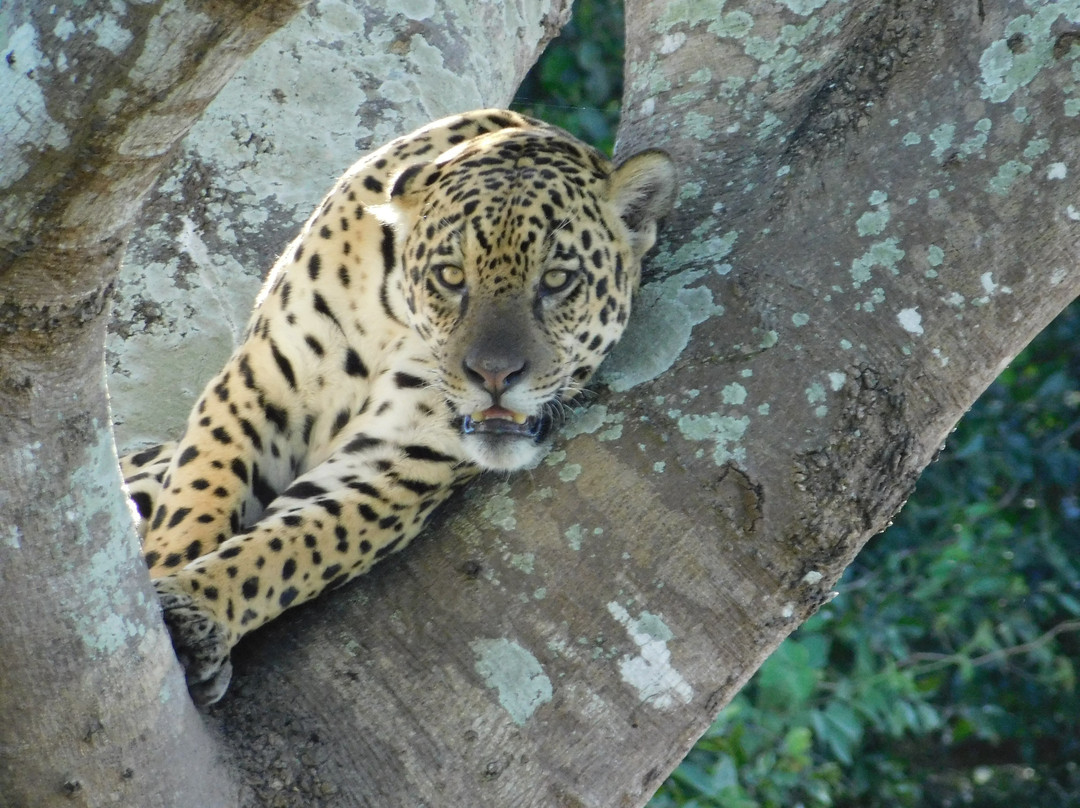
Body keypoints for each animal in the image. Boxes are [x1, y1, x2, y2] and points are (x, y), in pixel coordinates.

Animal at [120, 109, 677, 706]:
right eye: (451, 276)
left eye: (557, 280)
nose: (494, 376)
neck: (397, 320)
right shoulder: (259, 382)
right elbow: (200, 491)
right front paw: (163, 585)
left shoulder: (396, 460)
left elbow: (288, 547)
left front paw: (195, 609)